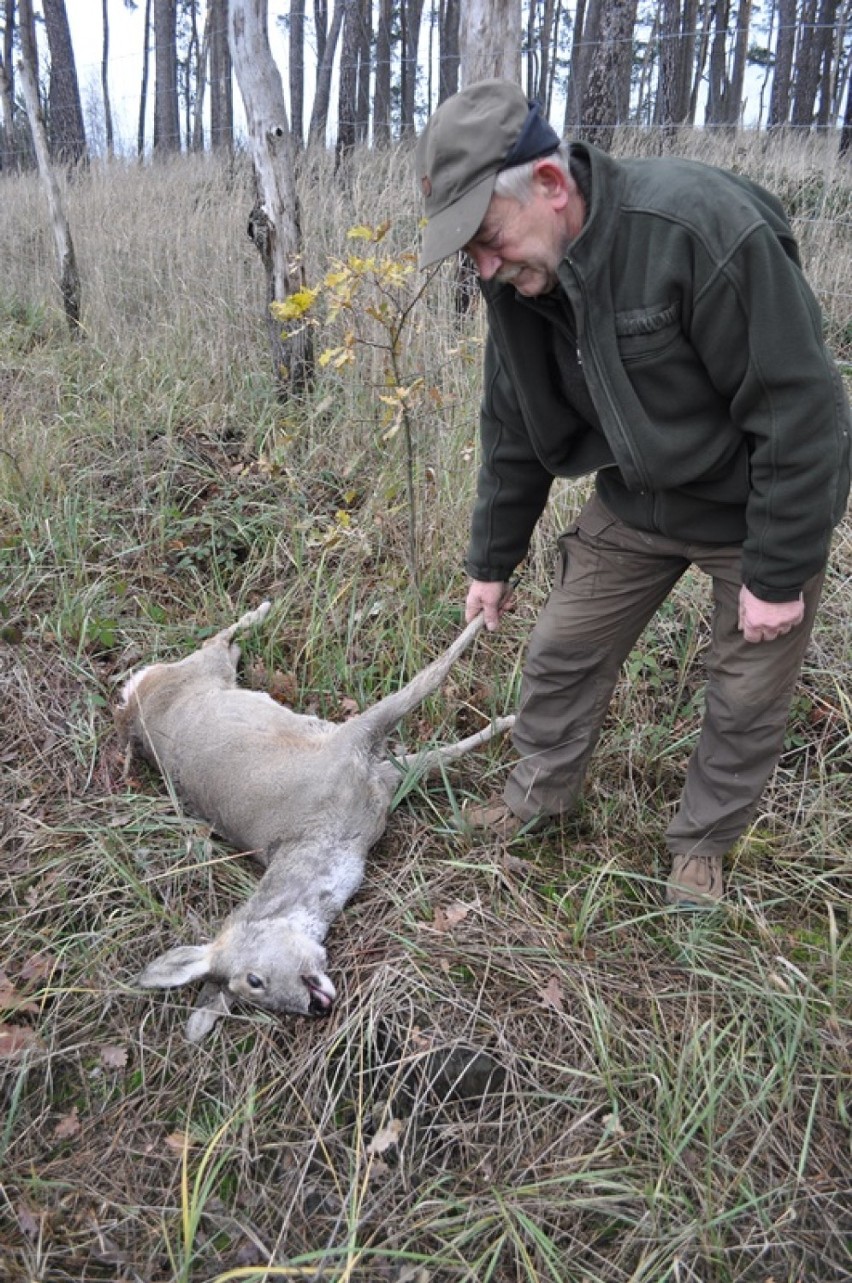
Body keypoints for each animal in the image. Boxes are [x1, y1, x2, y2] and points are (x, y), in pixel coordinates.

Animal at [114, 603, 513, 1041]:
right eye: (256, 996)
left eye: (254, 979)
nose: (316, 1008)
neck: (332, 840)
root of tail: (130, 701)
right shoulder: (381, 779)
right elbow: (439, 751)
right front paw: (504, 722)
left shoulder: (348, 744)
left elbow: (428, 679)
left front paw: (504, 703)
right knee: (223, 644)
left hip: (204, 669)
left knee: (217, 640)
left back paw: (264, 609)